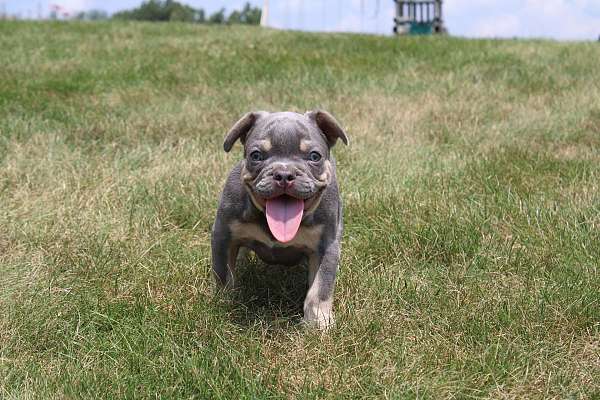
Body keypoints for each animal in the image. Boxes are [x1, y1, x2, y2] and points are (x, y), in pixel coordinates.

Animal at [211, 109, 350, 328]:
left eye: (314, 156)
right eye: (256, 155)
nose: (284, 174)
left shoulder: (326, 246)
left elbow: (321, 287)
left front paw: (318, 322)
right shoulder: (223, 235)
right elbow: (223, 274)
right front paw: (224, 304)